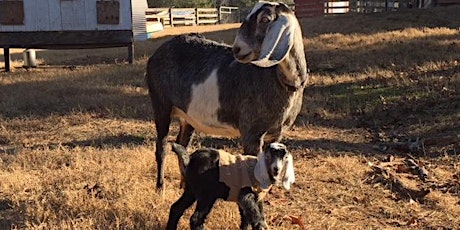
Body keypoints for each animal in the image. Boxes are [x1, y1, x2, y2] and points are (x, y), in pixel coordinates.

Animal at [146, 0, 308, 190]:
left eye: (265, 19)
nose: (237, 49)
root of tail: (157, 53)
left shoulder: (274, 135)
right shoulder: (251, 133)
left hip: (188, 115)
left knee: (181, 144)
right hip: (161, 104)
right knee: (162, 146)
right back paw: (160, 187)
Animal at [166, 143, 294, 229]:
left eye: (285, 157)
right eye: (268, 156)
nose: (276, 169)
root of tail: (190, 160)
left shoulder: (255, 198)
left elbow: (248, 217)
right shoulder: (246, 194)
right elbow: (254, 216)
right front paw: (261, 227)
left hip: (191, 190)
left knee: (176, 208)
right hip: (207, 195)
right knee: (196, 219)